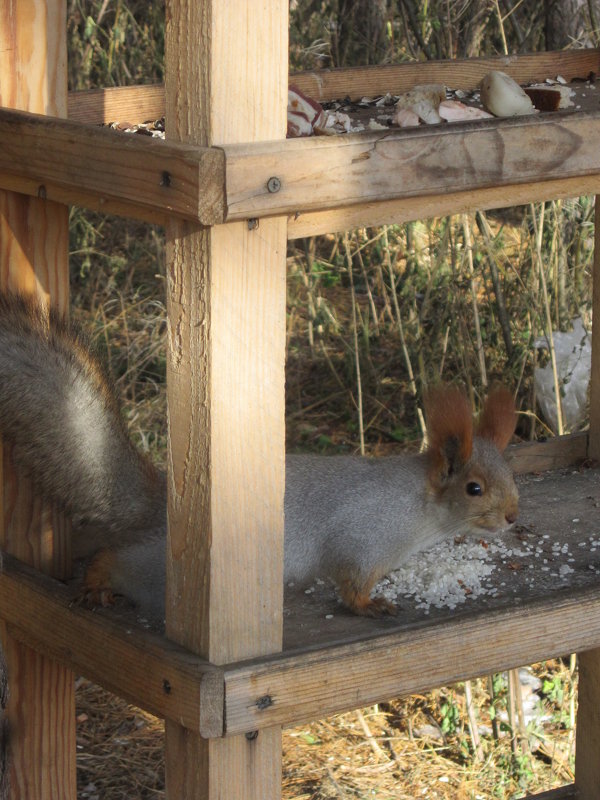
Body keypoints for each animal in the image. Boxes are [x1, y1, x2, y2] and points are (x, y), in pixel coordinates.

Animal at [0, 292, 516, 620]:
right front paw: (371, 605)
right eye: (474, 488)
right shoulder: (364, 535)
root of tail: (159, 503)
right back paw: (95, 584)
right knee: (114, 558)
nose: (513, 516)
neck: (420, 508)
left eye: (510, 476)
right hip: (158, 569)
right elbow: (350, 579)